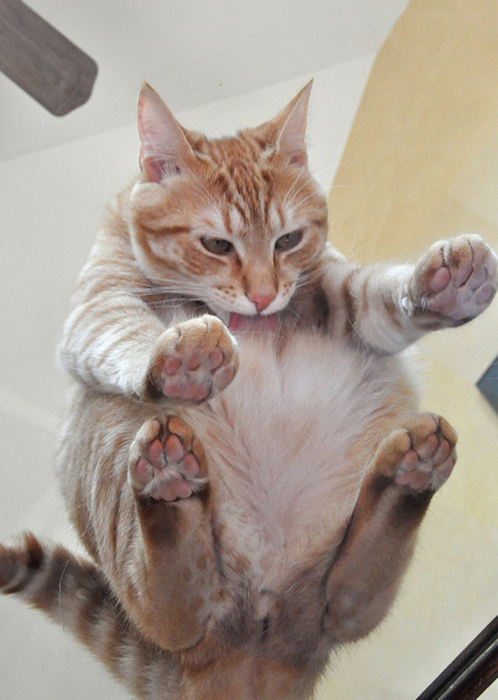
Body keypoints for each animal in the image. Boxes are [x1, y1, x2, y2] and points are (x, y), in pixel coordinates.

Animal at [0, 83, 498, 700]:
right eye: (217, 244)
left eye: (288, 239)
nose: (262, 298)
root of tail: (258, 635)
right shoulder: (98, 304)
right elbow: (127, 333)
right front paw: (184, 357)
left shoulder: (336, 292)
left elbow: (381, 292)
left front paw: (445, 286)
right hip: (106, 433)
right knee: (170, 606)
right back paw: (170, 485)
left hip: (343, 593)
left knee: (349, 595)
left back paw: (410, 472)